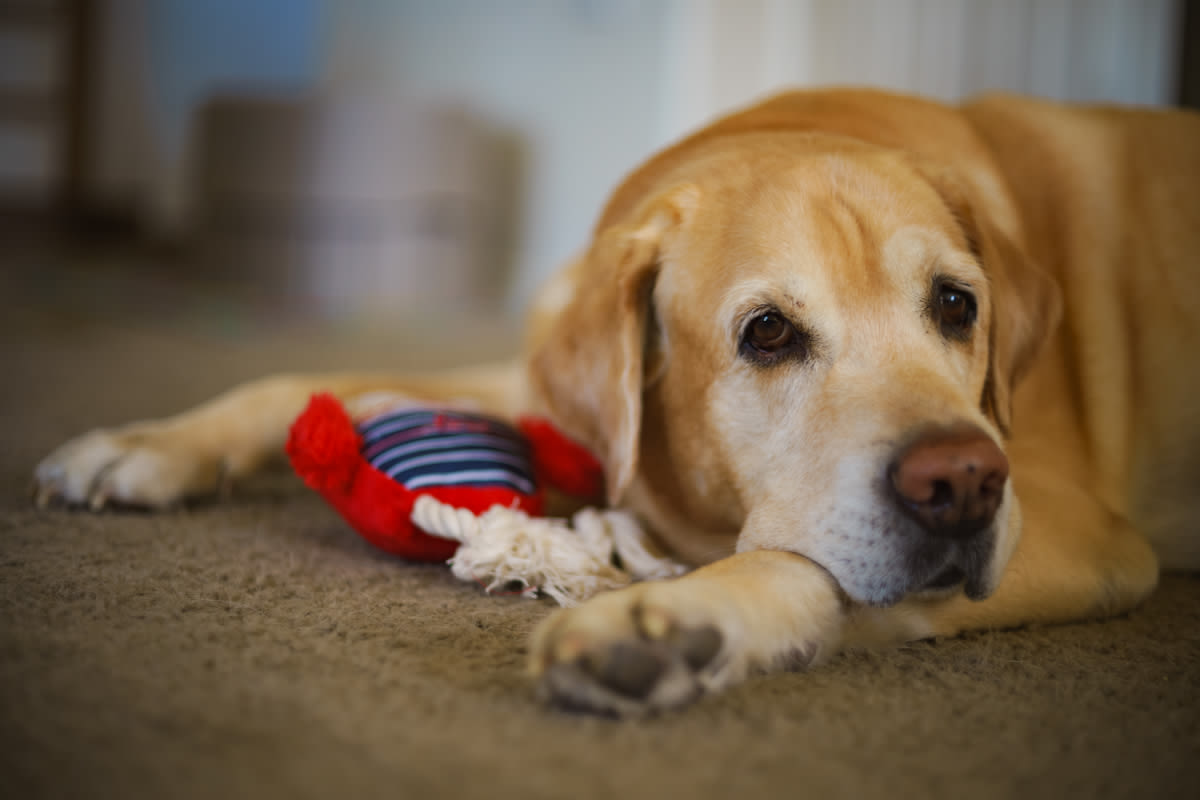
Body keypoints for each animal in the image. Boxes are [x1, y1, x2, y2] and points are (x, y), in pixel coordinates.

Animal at [32, 90, 1195, 714]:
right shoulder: (548, 378)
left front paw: (676, 616)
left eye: (958, 304)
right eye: (768, 333)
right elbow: (293, 383)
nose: (963, 481)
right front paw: (144, 444)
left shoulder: (1082, 528)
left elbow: (809, 561)